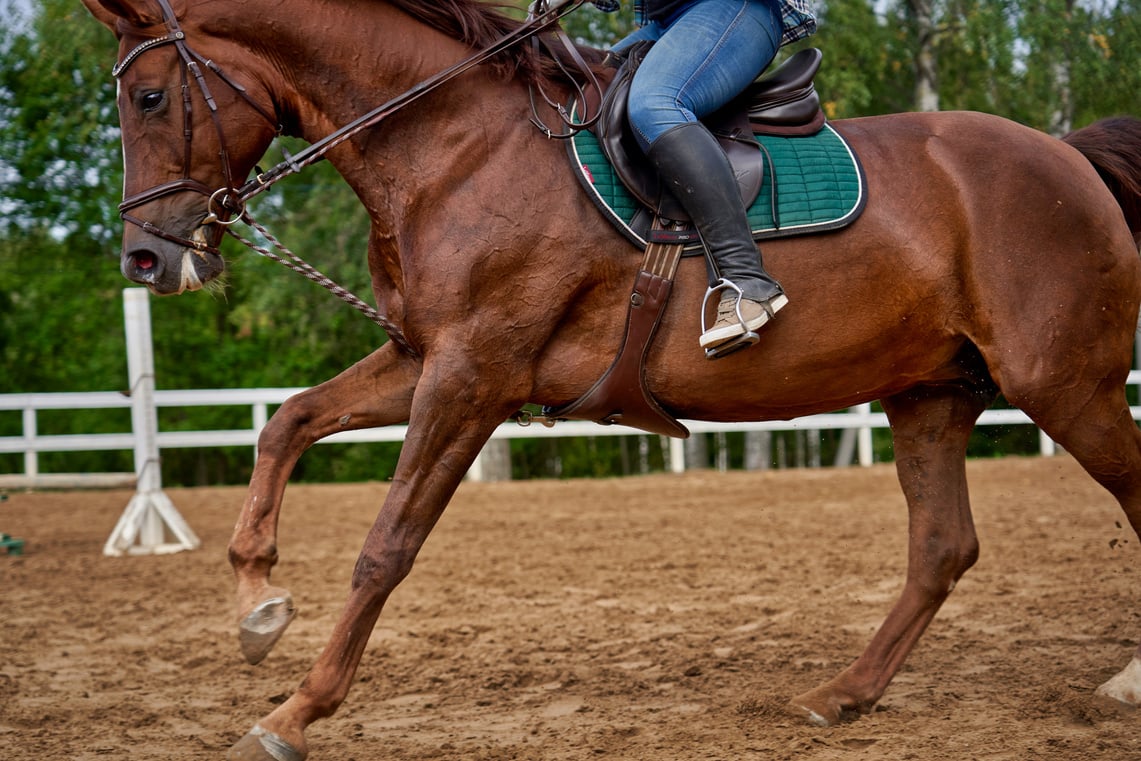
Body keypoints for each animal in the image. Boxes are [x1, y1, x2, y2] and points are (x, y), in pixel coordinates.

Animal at [82, 1, 1141, 761]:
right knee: (941, 546)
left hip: (1065, 384)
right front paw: (257, 602)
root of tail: (1066, 156)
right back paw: (839, 694)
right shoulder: (426, 358)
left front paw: (293, 712)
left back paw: (1122, 681)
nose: (143, 259)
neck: (454, 149)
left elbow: (385, 548)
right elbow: (288, 423)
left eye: (148, 99)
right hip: (931, 392)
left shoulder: (471, 375)